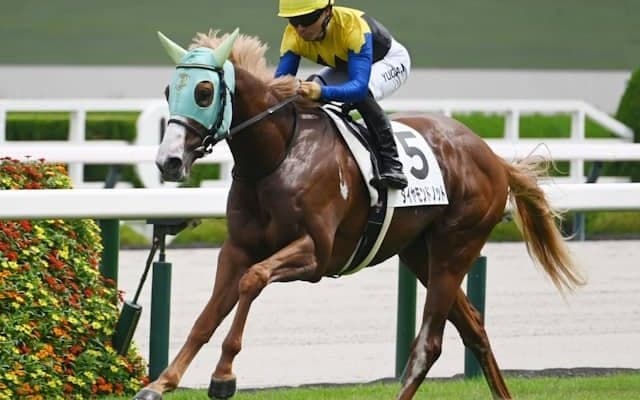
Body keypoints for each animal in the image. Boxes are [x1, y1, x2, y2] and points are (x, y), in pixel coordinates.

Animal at [134, 28, 585, 400]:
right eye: (168, 90)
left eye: (204, 92)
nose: (168, 162)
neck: (276, 155)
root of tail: (493, 158)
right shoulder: (237, 248)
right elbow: (207, 316)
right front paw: (161, 383)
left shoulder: (315, 254)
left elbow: (253, 280)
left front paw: (224, 375)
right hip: (421, 253)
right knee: (473, 327)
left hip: (457, 246)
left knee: (429, 344)